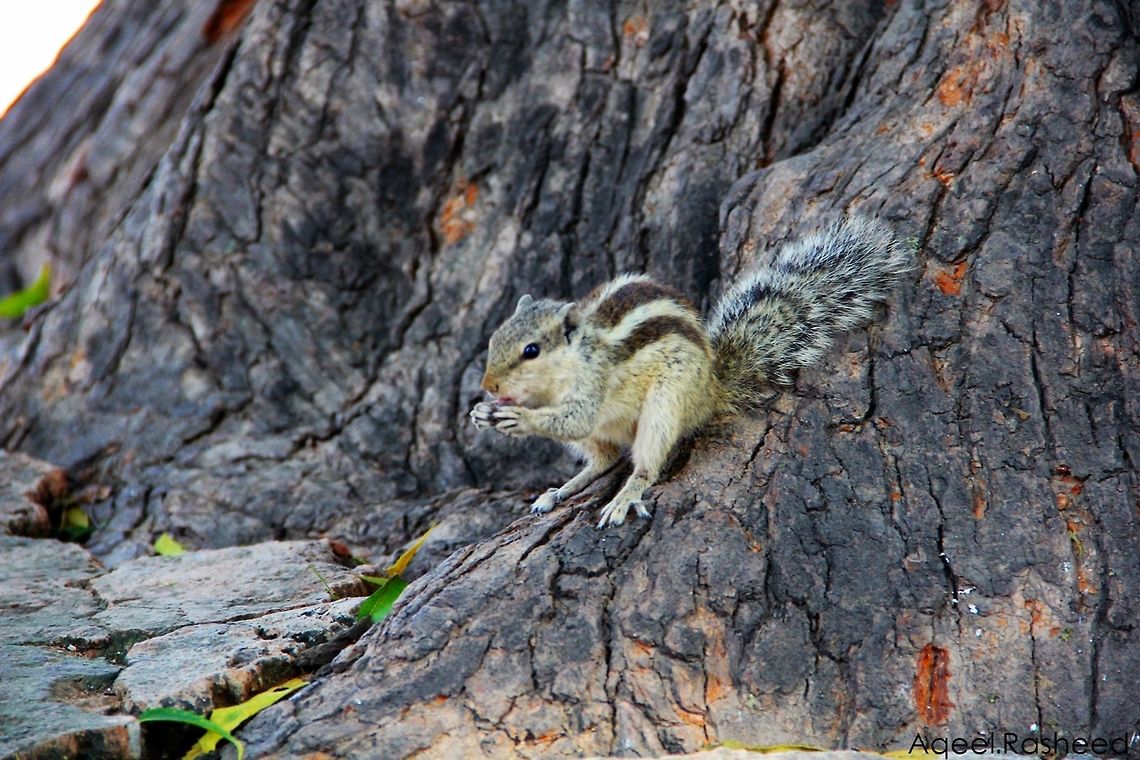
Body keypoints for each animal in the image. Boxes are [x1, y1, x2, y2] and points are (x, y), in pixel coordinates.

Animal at [470, 216, 914, 528]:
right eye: (495, 339)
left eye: (531, 351)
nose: (488, 384)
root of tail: (710, 392)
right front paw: (482, 412)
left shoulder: (593, 387)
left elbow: (573, 419)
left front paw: (517, 418)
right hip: (607, 435)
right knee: (602, 460)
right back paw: (559, 492)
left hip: (665, 407)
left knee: (643, 465)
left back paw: (624, 497)